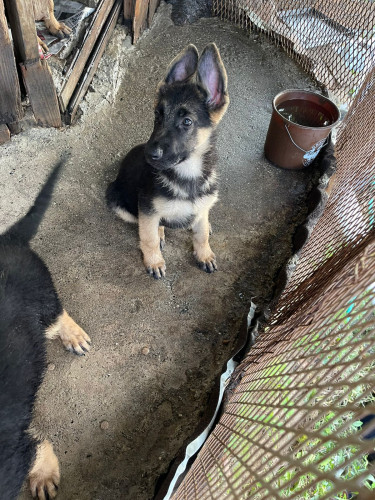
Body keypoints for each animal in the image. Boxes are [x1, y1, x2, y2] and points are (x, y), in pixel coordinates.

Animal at [0, 161, 91, 500]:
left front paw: (43, 478)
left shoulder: (13, 455)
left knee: (57, 315)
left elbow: (39, 449)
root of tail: (9, 240)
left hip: (41, 295)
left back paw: (73, 337)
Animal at [106, 42, 229, 278]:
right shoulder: (147, 209)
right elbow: (149, 238)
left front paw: (204, 254)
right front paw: (154, 261)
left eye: (187, 121)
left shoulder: (202, 206)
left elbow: (201, 235)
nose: (149, 154)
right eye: (157, 115)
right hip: (119, 203)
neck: (188, 173)